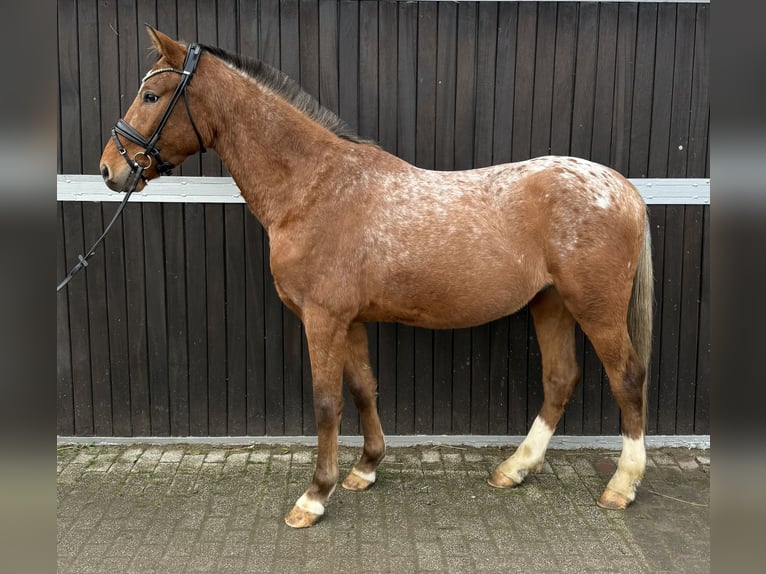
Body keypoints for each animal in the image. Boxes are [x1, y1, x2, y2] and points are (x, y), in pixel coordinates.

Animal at [99, 27, 653, 529]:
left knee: (627, 379)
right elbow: (364, 387)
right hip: (550, 303)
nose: (109, 170)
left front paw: (314, 497)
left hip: (596, 309)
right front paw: (364, 470)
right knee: (560, 379)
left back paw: (621, 486)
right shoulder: (352, 320)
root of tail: (622, 188)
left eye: (151, 96)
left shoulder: (322, 319)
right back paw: (514, 469)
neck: (315, 187)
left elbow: (327, 404)